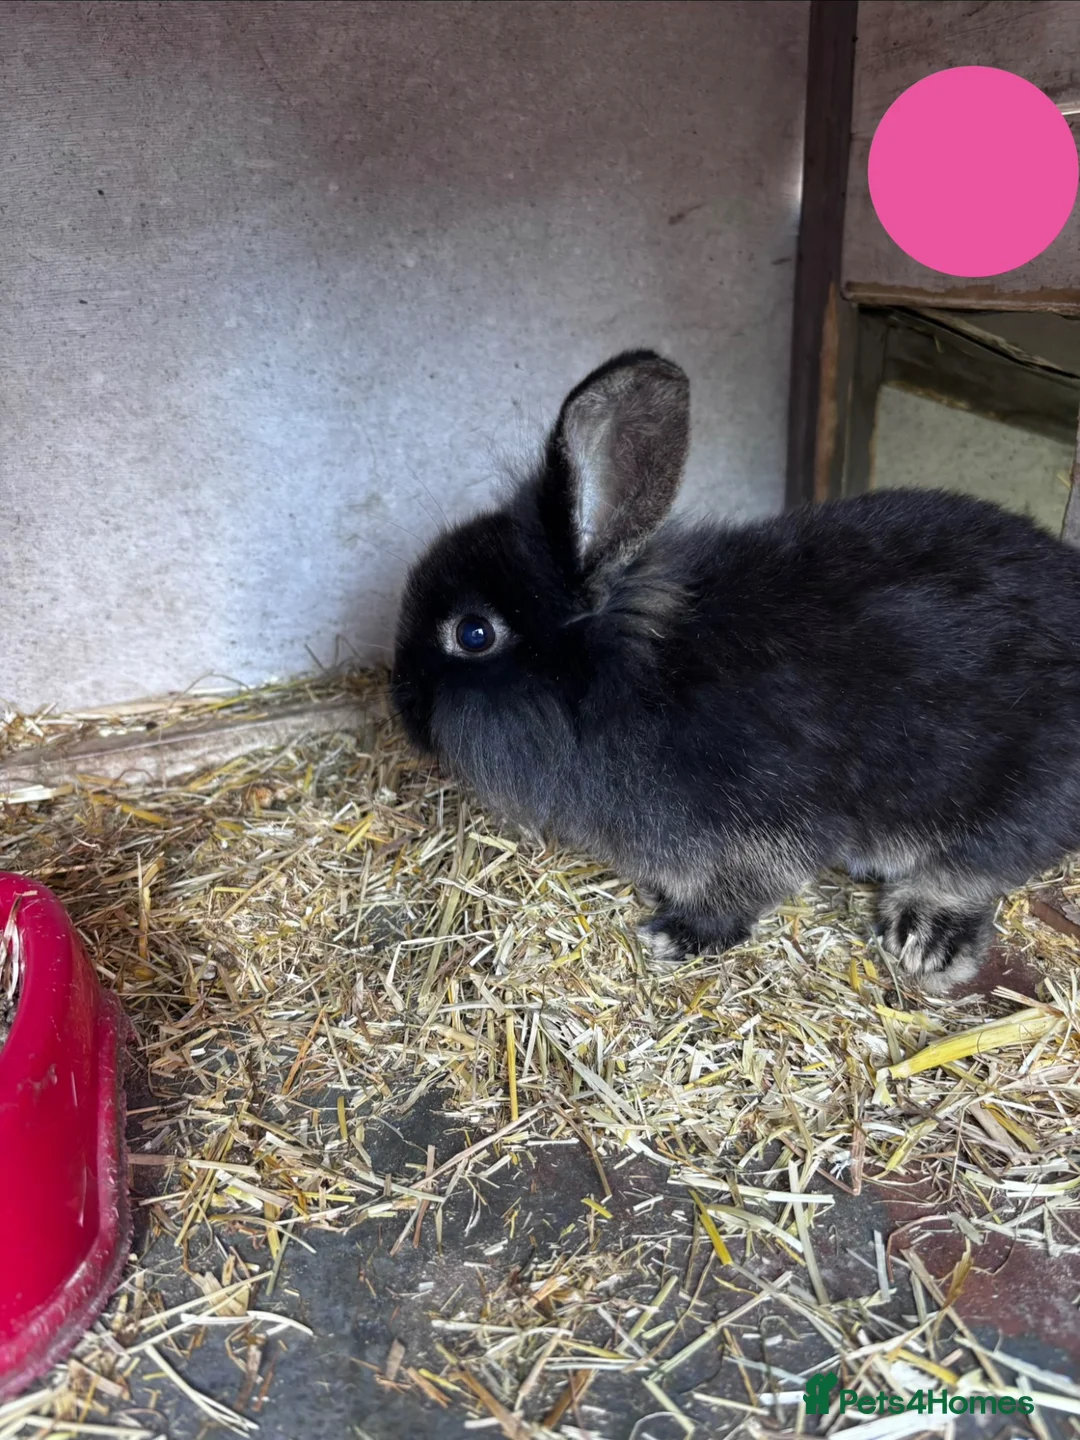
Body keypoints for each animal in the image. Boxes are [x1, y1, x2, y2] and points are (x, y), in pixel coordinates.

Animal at [391, 350, 1080, 994]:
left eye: (473, 634)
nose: (401, 705)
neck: (629, 680)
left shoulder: (756, 829)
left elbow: (741, 892)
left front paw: (675, 935)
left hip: (1003, 796)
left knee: (976, 869)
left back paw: (924, 936)